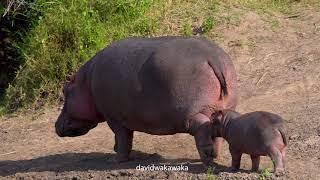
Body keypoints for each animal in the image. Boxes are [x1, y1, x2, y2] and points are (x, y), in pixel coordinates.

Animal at [54, 36, 238, 166]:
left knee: (201, 128)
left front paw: (115, 160)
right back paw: (214, 156)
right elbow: (121, 139)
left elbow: (122, 138)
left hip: (192, 113)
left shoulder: (114, 118)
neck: (86, 82)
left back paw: (207, 158)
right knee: (216, 132)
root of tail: (213, 58)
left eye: (64, 90)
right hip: (221, 108)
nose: (55, 125)